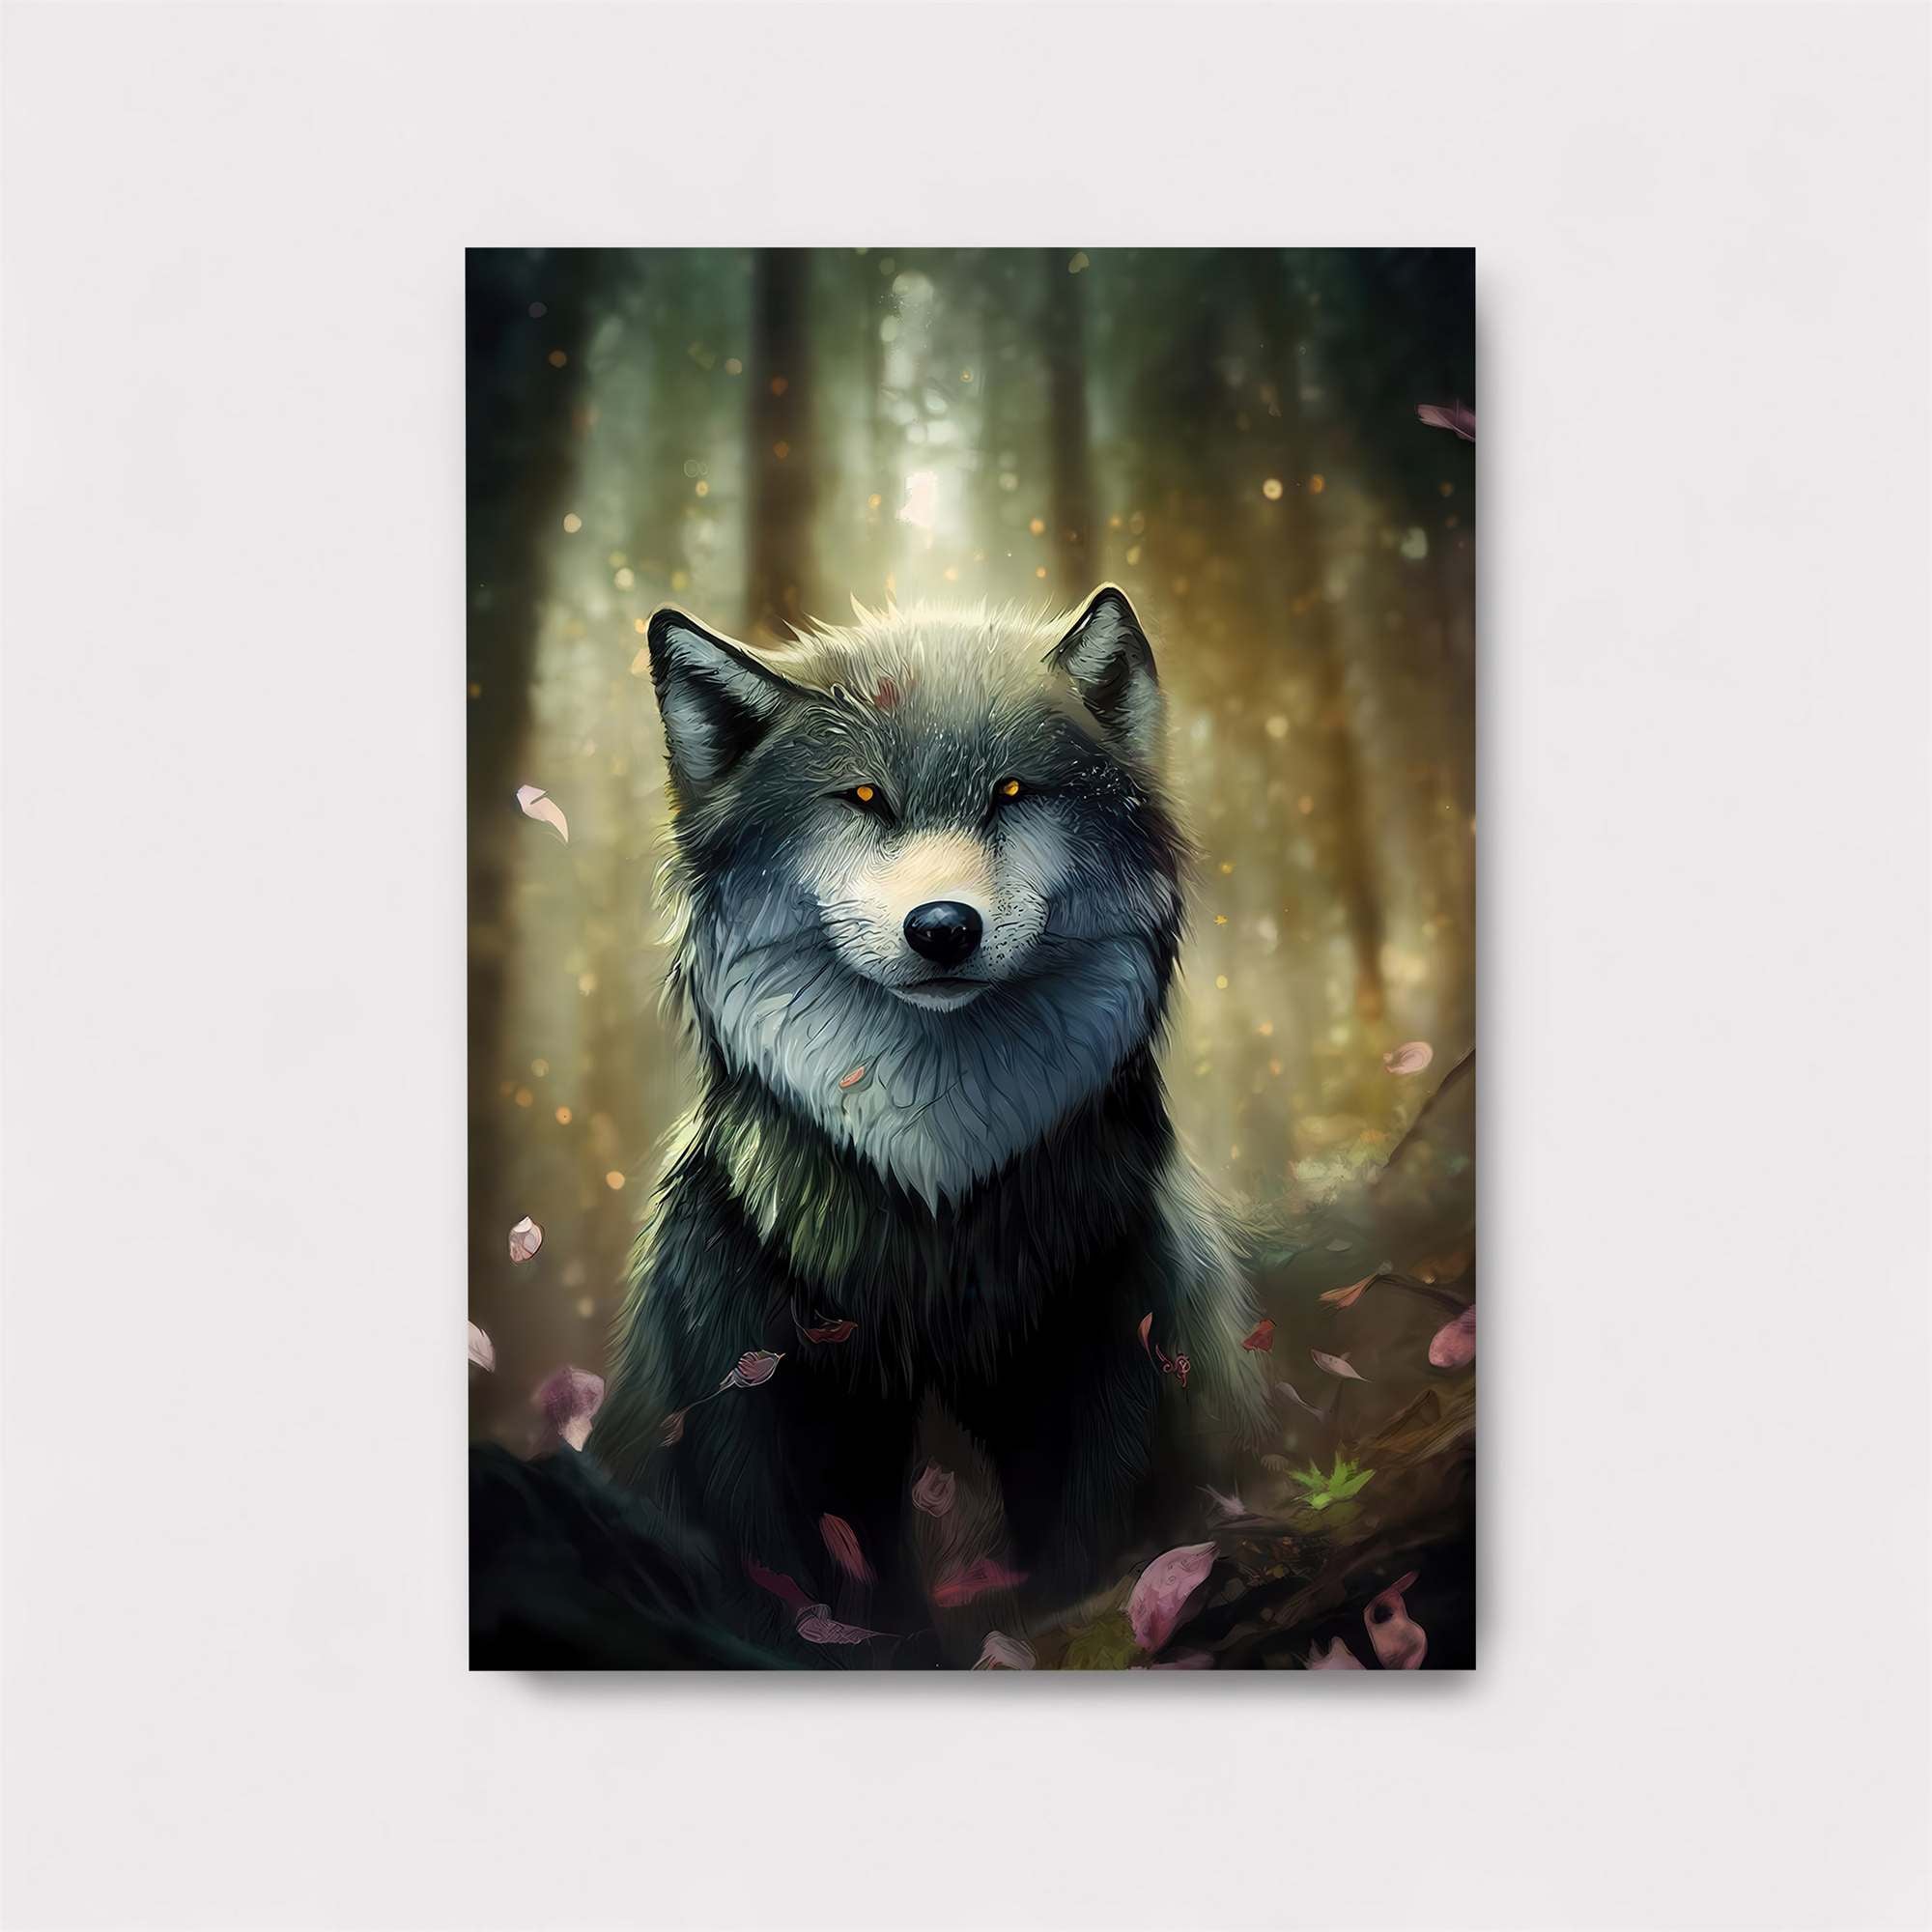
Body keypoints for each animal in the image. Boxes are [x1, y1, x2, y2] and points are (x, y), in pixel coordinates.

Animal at [595, 587, 1271, 1632]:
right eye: (864, 799)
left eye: (1011, 792)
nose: (944, 928)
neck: (937, 1202)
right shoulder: (755, 1398)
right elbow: (803, 1583)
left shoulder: (1105, 1360)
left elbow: (1084, 1540)